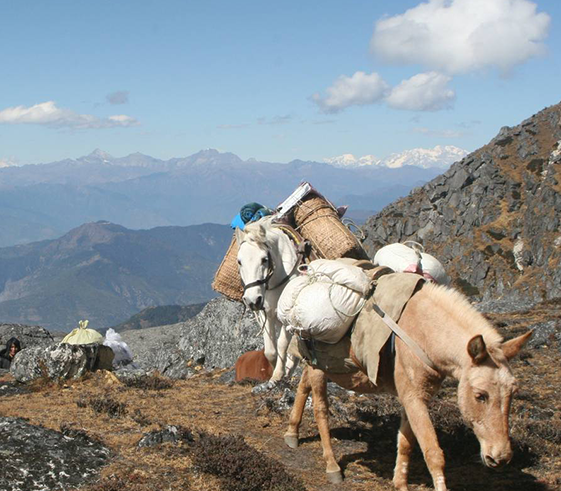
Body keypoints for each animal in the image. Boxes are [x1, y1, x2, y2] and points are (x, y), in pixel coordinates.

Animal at [233, 218, 302, 384]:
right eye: (239, 261)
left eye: (264, 259)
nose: (252, 300)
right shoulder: (266, 313)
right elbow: (270, 350)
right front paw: (275, 371)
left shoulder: (286, 318)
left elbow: (282, 345)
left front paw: (277, 375)